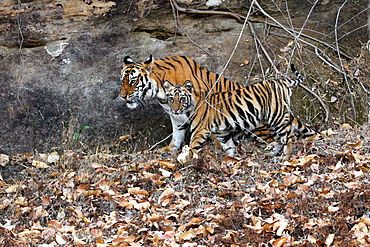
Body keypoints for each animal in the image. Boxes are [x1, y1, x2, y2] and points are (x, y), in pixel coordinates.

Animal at [118, 55, 272, 151]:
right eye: (122, 81)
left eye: (133, 81)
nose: (122, 96)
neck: (160, 91)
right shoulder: (175, 114)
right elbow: (177, 134)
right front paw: (170, 149)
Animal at [163, 64, 316, 163]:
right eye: (171, 98)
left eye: (181, 99)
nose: (174, 110)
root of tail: (281, 80)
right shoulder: (222, 133)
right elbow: (229, 146)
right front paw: (232, 159)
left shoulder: (200, 130)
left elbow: (193, 147)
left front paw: (187, 160)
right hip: (270, 120)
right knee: (279, 138)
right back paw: (273, 153)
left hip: (276, 116)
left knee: (289, 136)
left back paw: (286, 158)